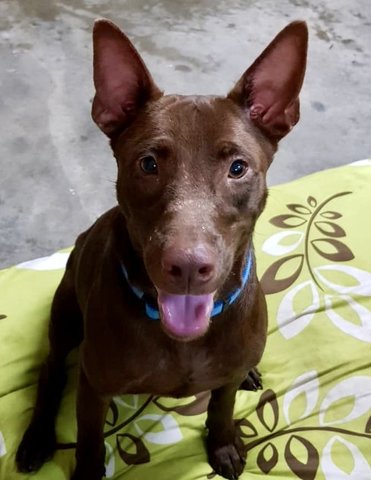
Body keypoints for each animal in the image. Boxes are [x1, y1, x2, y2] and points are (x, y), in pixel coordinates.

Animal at [15, 18, 308, 480]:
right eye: (148, 163)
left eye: (238, 168)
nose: (187, 267)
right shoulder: (94, 386)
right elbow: (89, 439)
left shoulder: (224, 379)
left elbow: (222, 406)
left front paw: (223, 444)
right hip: (64, 316)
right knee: (51, 371)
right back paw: (38, 436)